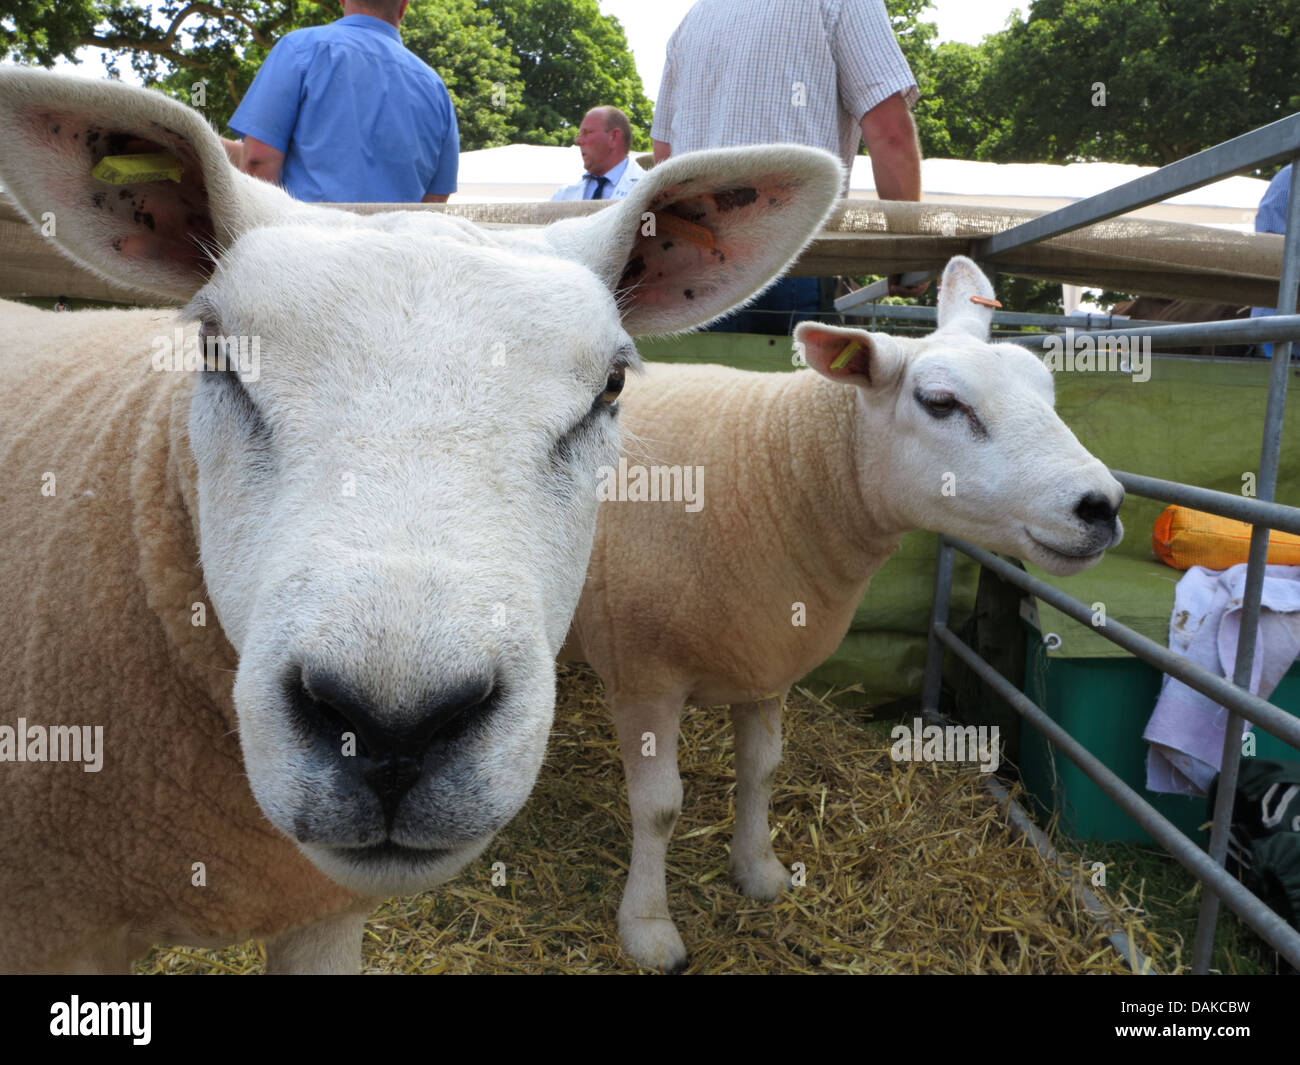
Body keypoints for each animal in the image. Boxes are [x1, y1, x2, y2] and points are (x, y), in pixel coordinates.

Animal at [562, 256, 1126, 971]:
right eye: (940, 403)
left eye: (1047, 391)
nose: (1102, 506)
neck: (775, 466)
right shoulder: (643, 675)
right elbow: (660, 808)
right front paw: (648, 926)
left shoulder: (766, 658)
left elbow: (762, 772)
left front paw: (760, 871)